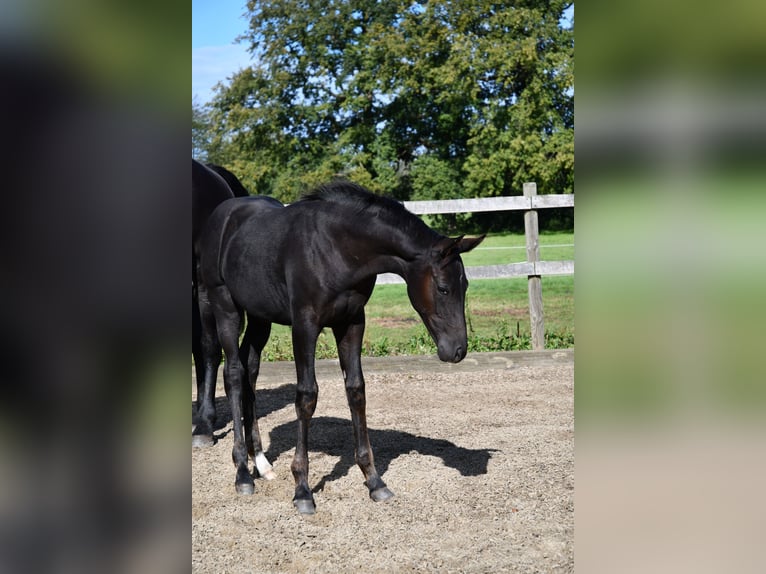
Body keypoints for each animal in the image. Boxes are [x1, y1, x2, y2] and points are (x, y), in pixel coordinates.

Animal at [200, 186, 486, 516]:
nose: (457, 350)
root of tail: (222, 215)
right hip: (225, 307)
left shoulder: (351, 322)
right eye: (443, 288)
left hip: (260, 317)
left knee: (251, 369)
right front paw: (302, 489)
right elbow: (307, 396)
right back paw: (243, 473)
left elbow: (356, 390)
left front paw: (374, 481)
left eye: (465, 285)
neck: (337, 248)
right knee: (234, 373)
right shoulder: (305, 325)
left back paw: (261, 463)